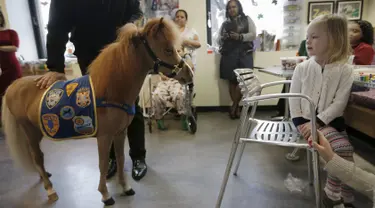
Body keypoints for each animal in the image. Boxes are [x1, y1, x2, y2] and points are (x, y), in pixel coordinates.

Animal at [0, 17, 194, 205]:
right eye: (168, 49)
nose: (189, 74)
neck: (110, 91)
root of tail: (14, 85)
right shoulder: (104, 136)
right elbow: (102, 164)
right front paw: (105, 195)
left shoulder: (119, 133)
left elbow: (121, 158)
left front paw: (125, 187)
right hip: (29, 130)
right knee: (38, 157)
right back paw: (50, 189)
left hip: (36, 131)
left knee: (35, 157)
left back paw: (44, 177)